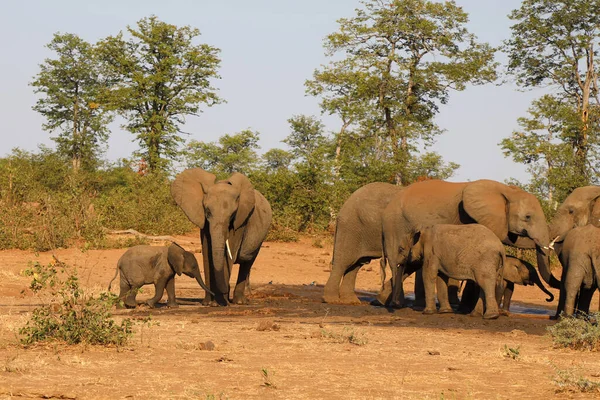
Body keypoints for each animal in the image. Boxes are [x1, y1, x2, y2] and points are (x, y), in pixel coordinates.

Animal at [170, 167, 270, 304]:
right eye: (207, 212)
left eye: (232, 214)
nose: (224, 291)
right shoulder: (205, 223)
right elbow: (207, 254)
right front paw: (209, 303)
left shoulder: (240, 222)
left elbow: (228, 254)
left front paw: (220, 303)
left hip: (260, 238)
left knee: (247, 262)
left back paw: (239, 302)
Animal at [384, 180, 552, 308]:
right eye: (528, 217)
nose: (548, 299)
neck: (506, 190)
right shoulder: (473, 219)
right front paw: (466, 308)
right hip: (394, 225)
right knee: (396, 264)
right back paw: (396, 304)